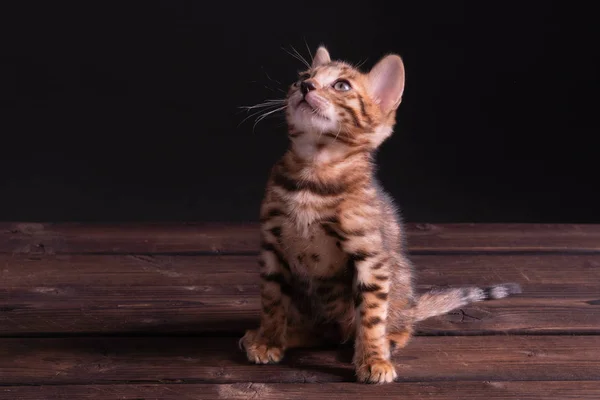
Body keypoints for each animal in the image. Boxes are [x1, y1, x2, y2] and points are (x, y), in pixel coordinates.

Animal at [239, 47, 520, 384]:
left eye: (341, 85)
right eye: (303, 77)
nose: (305, 87)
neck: (313, 173)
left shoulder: (370, 255)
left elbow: (371, 316)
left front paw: (373, 359)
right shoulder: (272, 244)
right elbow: (271, 300)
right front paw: (268, 339)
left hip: (396, 278)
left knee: (393, 323)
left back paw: (389, 339)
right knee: (321, 332)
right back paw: (279, 335)